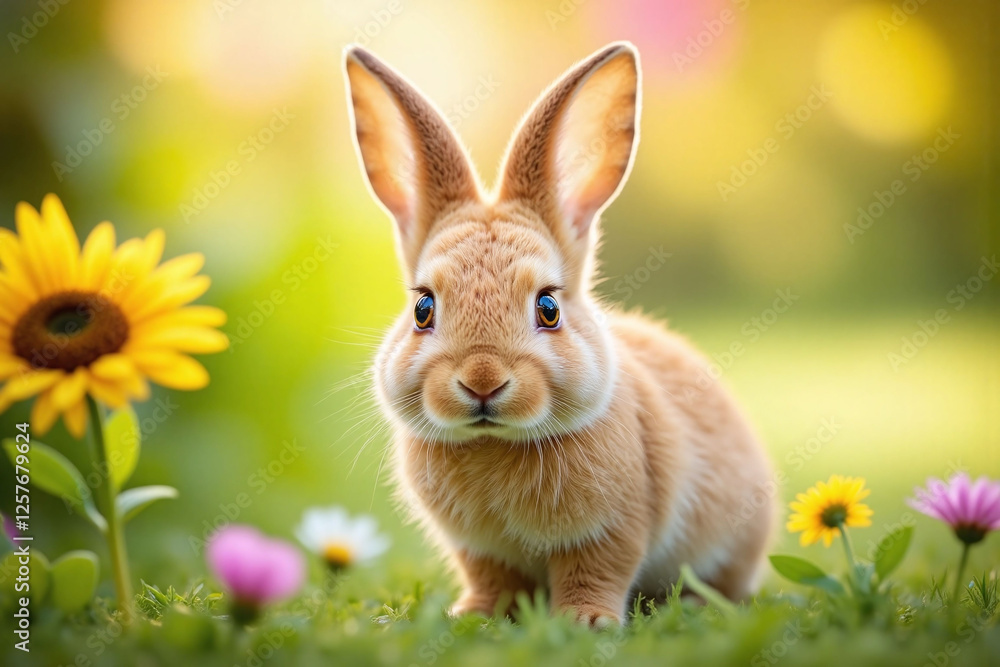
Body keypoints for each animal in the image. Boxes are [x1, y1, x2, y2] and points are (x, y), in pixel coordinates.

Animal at [343, 41, 773, 626]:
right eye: (423, 308)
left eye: (548, 307)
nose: (482, 381)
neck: (494, 441)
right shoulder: (479, 550)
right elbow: (491, 579)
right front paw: (472, 615)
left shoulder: (610, 530)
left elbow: (595, 571)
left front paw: (585, 622)